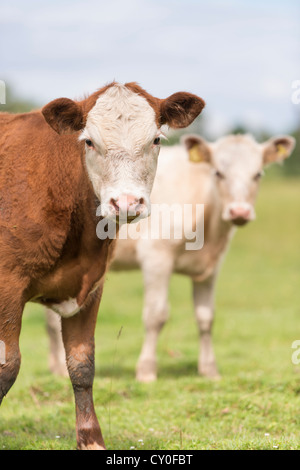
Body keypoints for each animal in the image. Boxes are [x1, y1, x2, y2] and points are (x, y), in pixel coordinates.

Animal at [0, 82, 204, 450]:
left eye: (156, 139)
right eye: (90, 142)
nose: (126, 202)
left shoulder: (90, 286)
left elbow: (82, 364)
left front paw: (90, 438)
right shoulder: (7, 285)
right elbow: (8, 365)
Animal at [47, 133, 296, 382]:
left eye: (258, 174)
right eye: (218, 173)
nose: (239, 212)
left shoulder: (211, 268)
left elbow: (206, 317)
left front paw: (210, 370)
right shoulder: (156, 256)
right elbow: (155, 315)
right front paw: (146, 370)